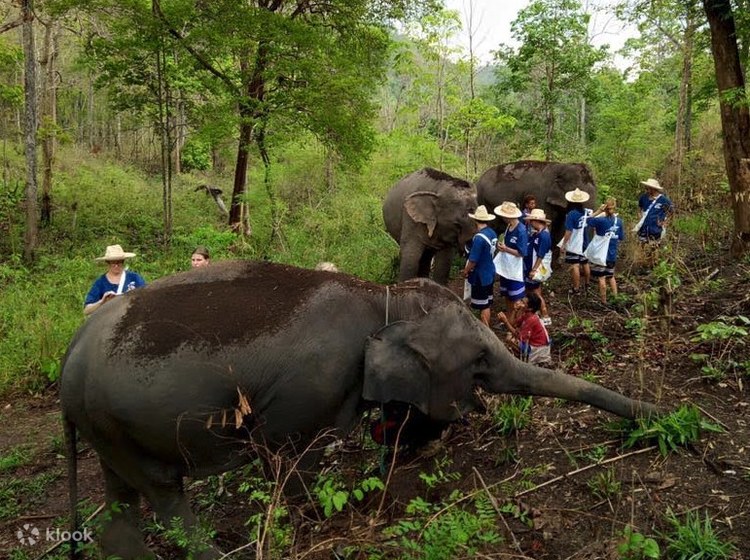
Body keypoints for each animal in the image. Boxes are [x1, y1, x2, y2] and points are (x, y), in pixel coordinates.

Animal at [60, 260, 657, 559]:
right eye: (480, 360)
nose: (661, 417)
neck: (384, 295)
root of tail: (69, 356)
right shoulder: (312, 383)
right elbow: (284, 458)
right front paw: (326, 518)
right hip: (117, 419)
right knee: (166, 494)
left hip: (108, 429)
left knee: (122, 498)